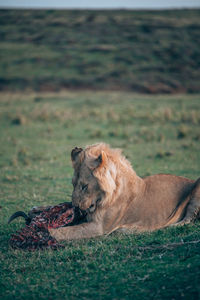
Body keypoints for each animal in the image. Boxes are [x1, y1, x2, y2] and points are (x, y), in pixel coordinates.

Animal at [48, 143, 200, 241]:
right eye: (73, 184)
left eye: (84, 186)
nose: (75, 207)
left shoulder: (99, 227)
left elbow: (67, 231)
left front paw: (47, 233)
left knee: (187, 220)